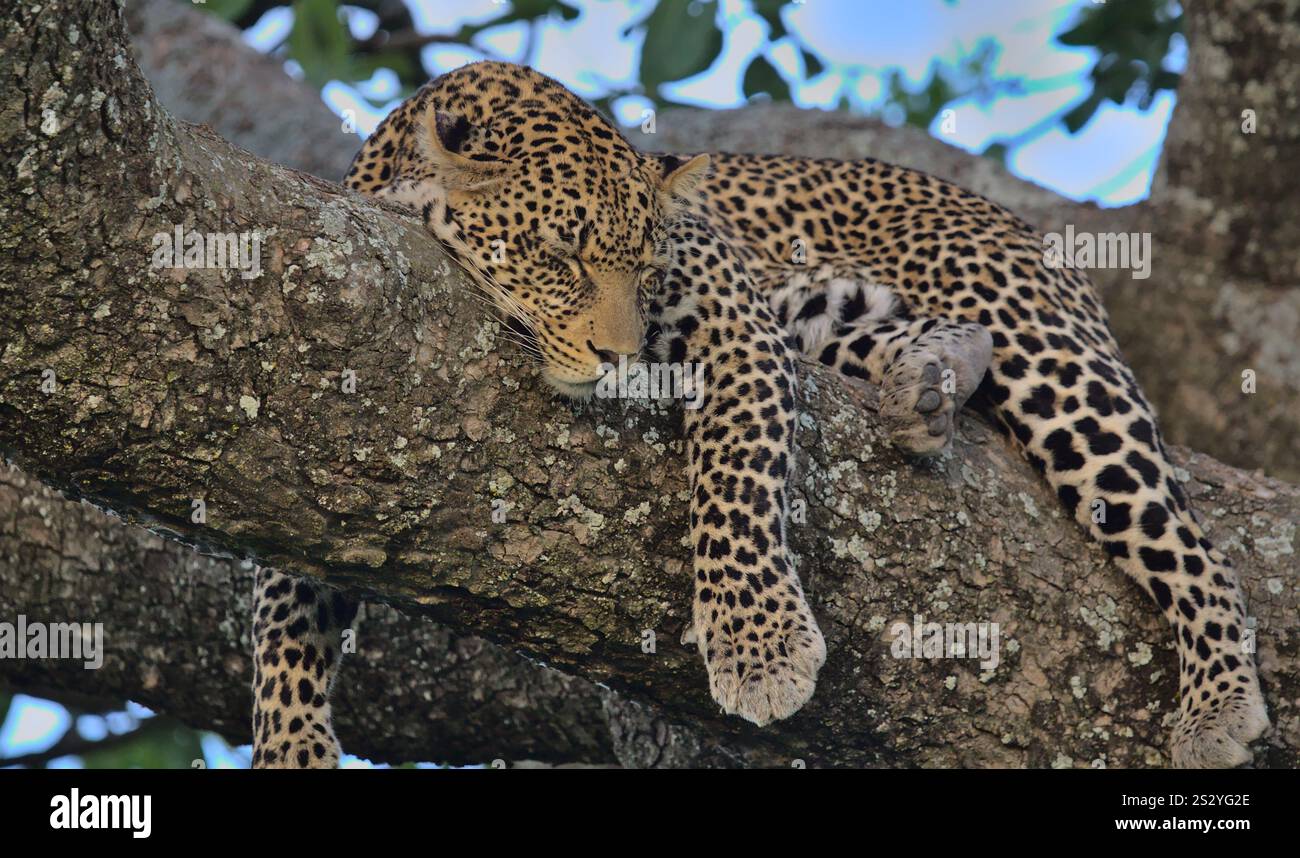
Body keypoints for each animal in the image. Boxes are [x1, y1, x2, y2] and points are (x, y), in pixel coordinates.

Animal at [249, 60, 1269, 769]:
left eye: (647, 268)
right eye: (559, 255)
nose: (621, 357)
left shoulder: (730, 322)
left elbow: (736, 480)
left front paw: (759, 646)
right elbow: (283, 595)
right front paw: (290, 743)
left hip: (1050, 362)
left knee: (1190, 540)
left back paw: (1218, 703)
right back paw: (925, 383)